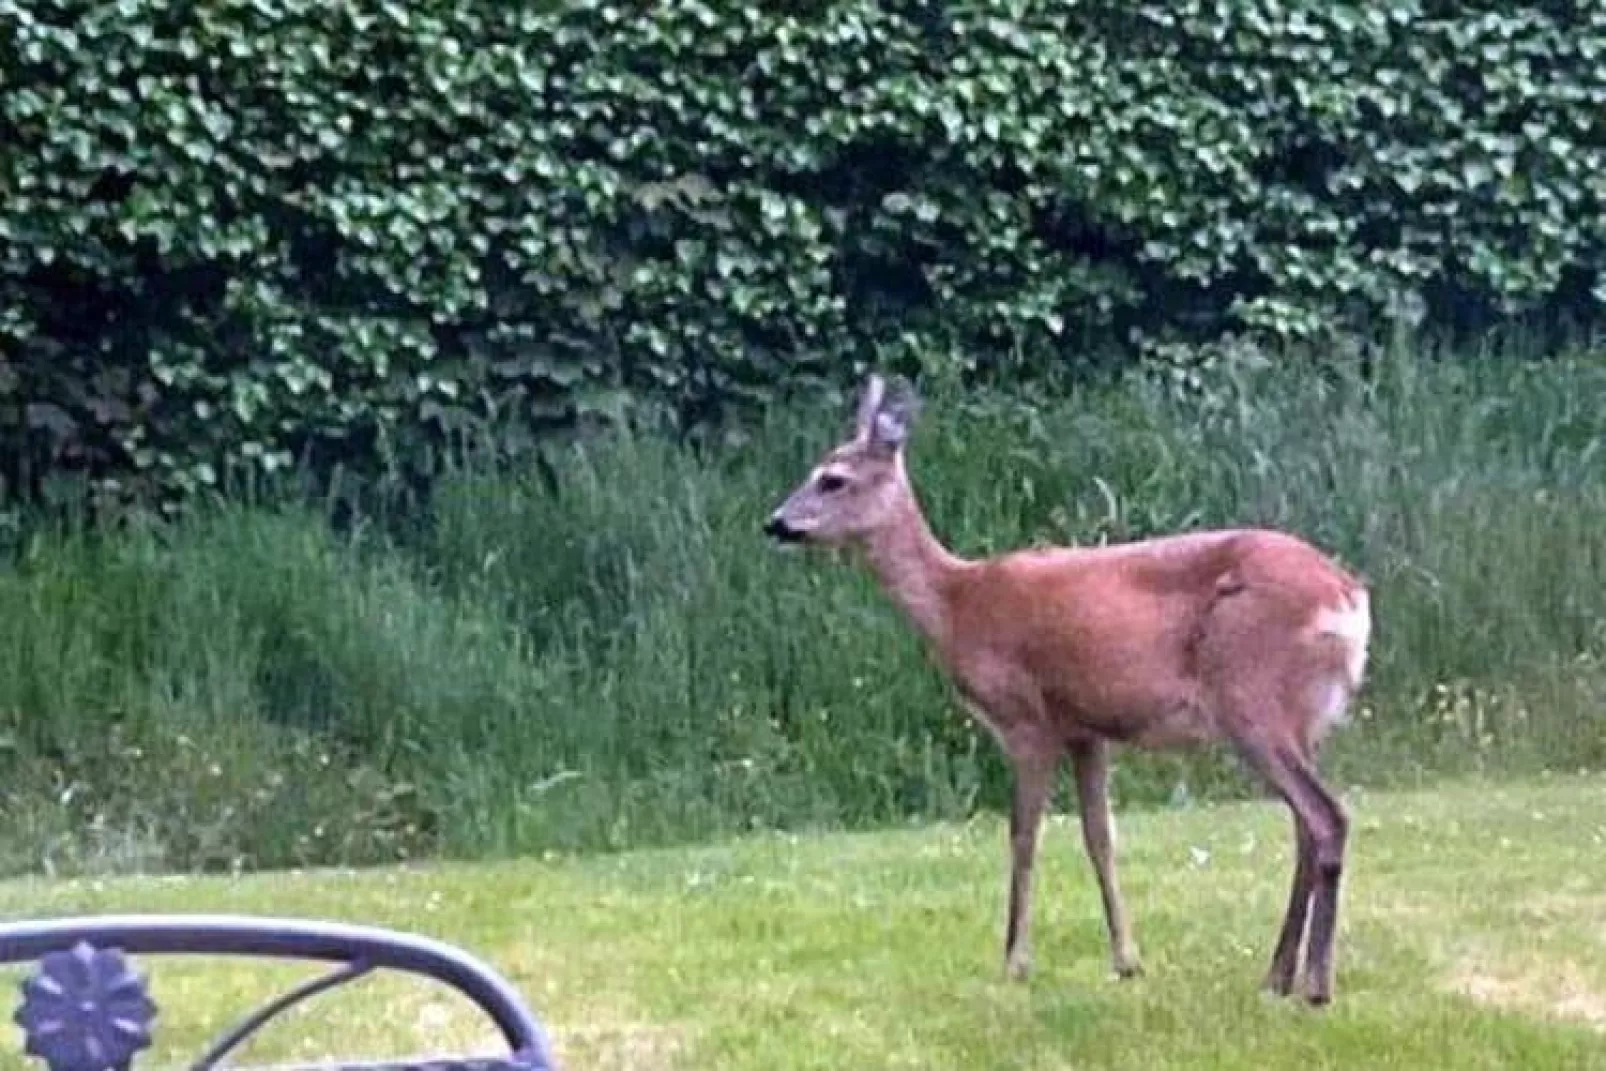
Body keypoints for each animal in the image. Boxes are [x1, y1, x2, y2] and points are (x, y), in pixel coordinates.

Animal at [761, 375, 1368, 1008]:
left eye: (832, 478)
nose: (774, 522)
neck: (958, 604)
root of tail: (1348, 595)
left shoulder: (1026, 719)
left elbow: (1023, 837)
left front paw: (1015, 961)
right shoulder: (1086, 730)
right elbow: (1100, 837)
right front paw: (1127, 960)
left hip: (1251, 699)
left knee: (1327, 816)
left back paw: (1315, 984)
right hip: (1301, 717)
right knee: (1305, 826)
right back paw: (1277, 977)